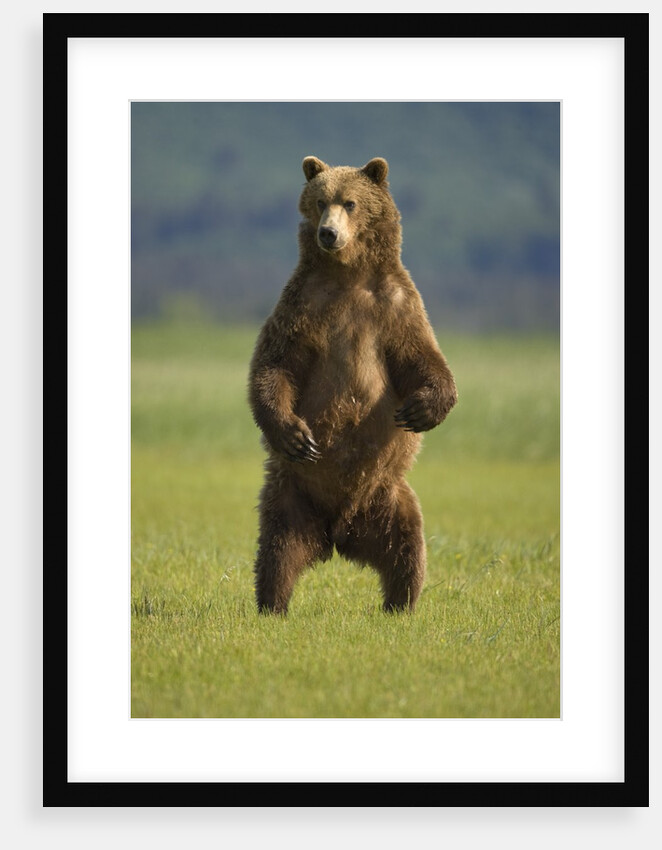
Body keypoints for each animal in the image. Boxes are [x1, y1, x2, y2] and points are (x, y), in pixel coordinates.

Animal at [248, 156, 457, 614]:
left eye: (351, 202)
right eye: (320, 201)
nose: (328, 233)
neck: (348, 274)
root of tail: (338, 532)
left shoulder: (396, 306)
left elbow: (422, 358)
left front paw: (419, 410)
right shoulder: (302, 304)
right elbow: (276, 365)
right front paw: (295, 435)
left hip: (389, 495)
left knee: (407, 547)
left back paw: (401, 605)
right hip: (291, 495)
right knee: (277, 550)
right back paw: (273, 604)